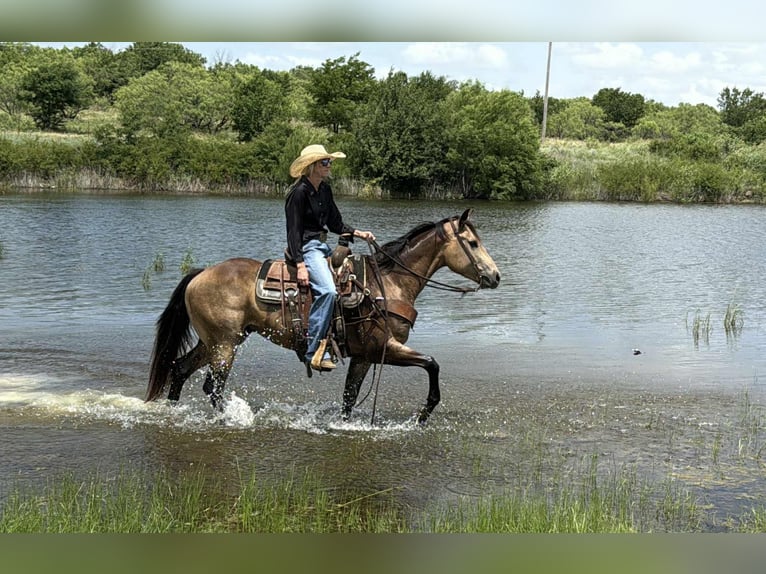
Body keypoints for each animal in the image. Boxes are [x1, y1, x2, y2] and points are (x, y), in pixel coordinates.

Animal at [144, 208, 500, 424]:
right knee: (213, 387)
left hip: (216, 341)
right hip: (225, 345)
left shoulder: (364, 356)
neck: (389, 284)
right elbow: (431, 363)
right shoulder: (384, 348)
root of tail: (201, 274)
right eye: (472, 243)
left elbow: (349, 397)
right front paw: (423, 414)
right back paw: (232, 419)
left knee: (180, 369)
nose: (495, 276)